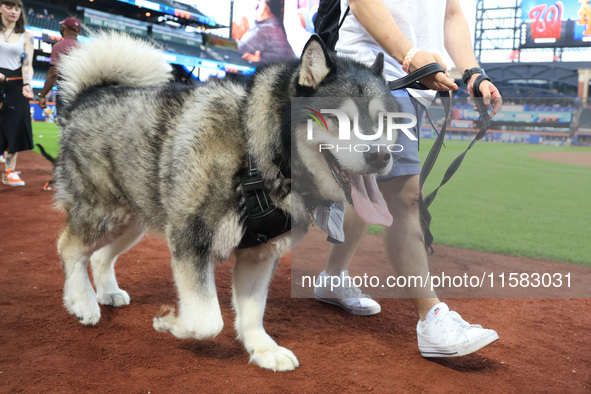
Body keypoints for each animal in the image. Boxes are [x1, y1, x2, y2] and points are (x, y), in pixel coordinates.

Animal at [55, 31, 398, 370]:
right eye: (339, 118)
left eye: (385, 121)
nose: (380, 156)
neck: (256, 152)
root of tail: (89, 94)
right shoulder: (191, 241)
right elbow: (208, 321)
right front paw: (171, 323)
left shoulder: (260, 254)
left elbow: (252, 312)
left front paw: (262, 348)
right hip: (103, 212)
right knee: (70, 248)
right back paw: (82, 302)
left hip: (132, 220)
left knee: (99, 256)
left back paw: (107, 292)